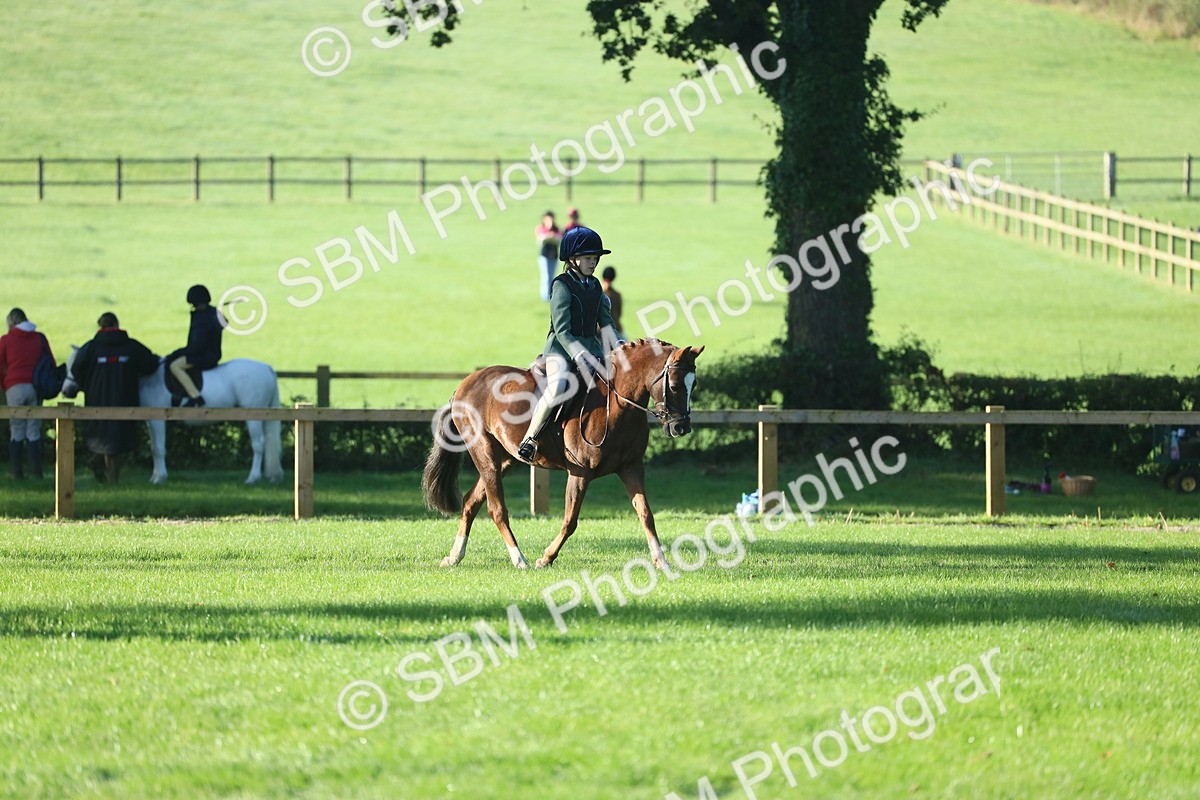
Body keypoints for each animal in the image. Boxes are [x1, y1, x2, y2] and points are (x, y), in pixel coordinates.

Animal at [63, 348, 284, 485]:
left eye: (78, 366)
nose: (66, 390)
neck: (147, 377)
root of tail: (267, 368)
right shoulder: (150, 420)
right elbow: (154, 448)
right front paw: (155, 477)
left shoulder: (158, 420)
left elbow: (158, 449)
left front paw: (160, 478)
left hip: (253, 416)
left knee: (259, 445)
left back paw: (252, 478)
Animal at [421, 338, 704, 569]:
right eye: (675, 386)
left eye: (694, 385)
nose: (681, 427)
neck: (618, 405)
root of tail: (465, 383)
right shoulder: (580, 473)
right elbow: (570, 520)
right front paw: (546, 558)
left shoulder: (631, 468)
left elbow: (646, 514)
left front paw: (661, 561)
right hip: (484, 453)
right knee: (496, 508)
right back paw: (519, 559)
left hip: (506, 459)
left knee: (471, 501)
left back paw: (454, 557)